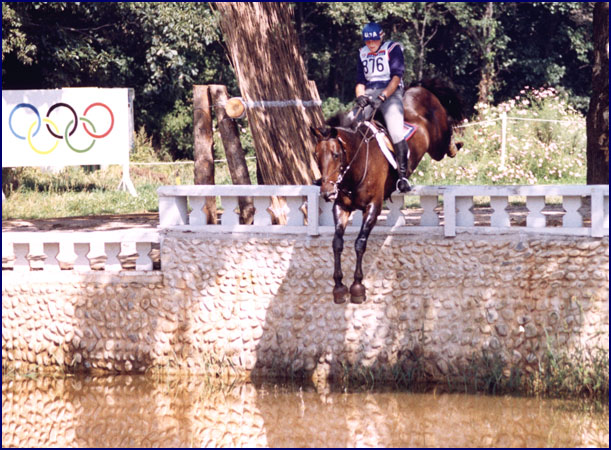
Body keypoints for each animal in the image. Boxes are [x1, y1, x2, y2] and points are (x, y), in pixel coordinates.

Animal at [314, 78, 466, 306]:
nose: (327, 192)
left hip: (437, 142)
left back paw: (454, 145)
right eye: (316, 156)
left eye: (335, 154)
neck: (357, 164)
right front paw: (339, 287)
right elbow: (337, 243)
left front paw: (357, 287)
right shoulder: (341, 207)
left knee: (445, 135)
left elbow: (360, 243)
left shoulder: (373, 207)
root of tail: (419, 88)